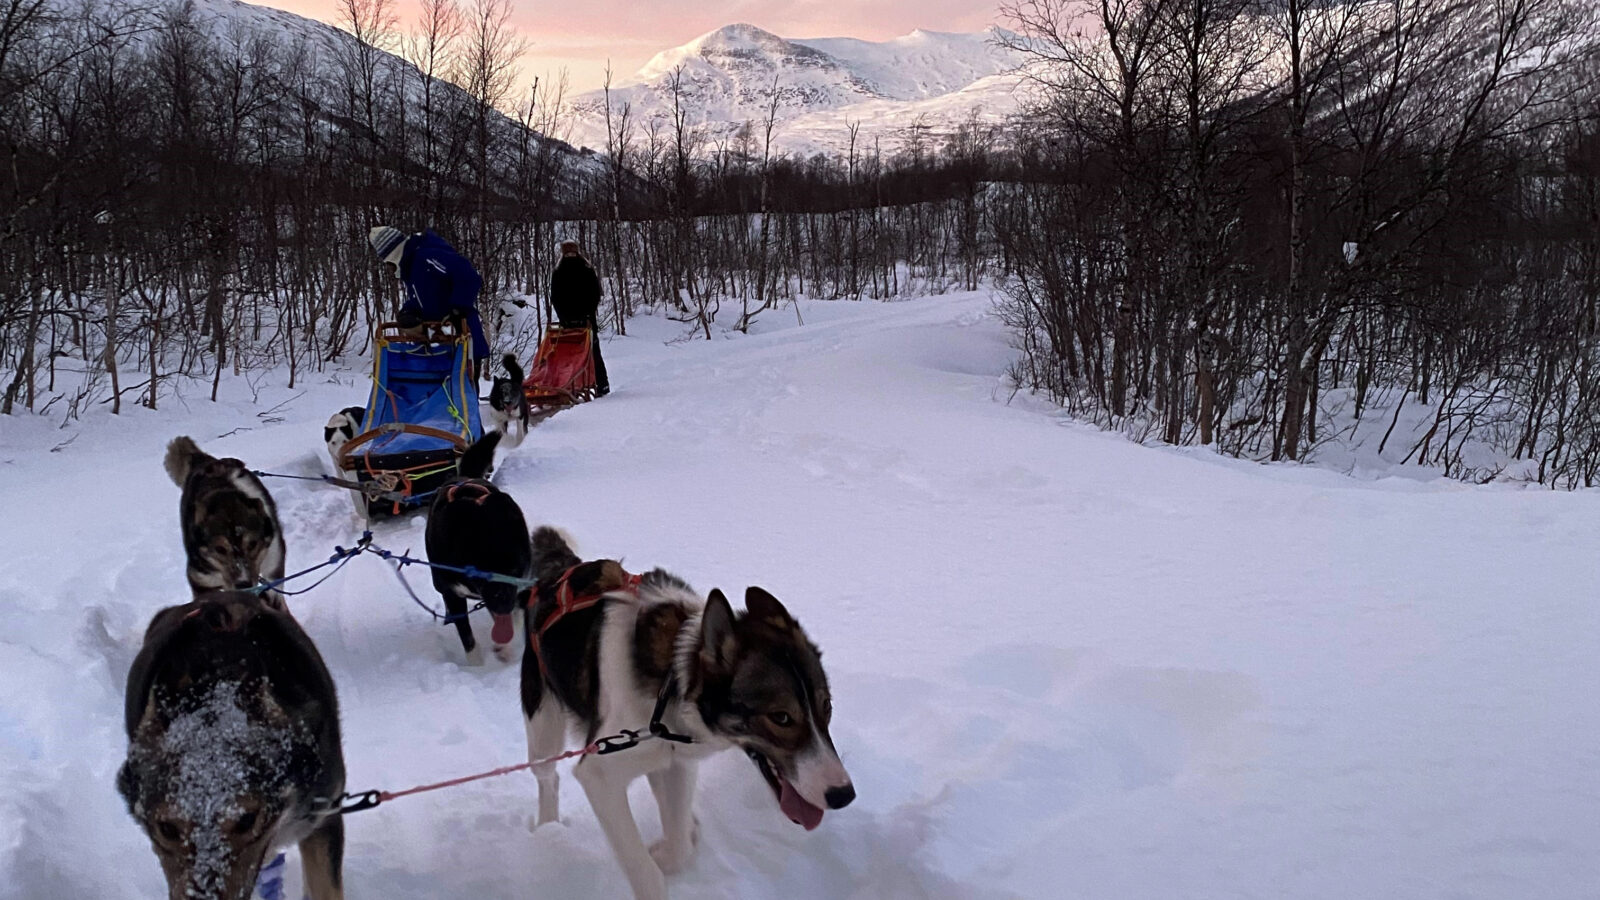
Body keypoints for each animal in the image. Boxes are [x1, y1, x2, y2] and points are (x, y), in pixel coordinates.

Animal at [164, 432, 288, 605]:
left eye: (252, 544)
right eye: (219, 549)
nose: (243, 584)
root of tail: (203, 461)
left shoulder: (273, 573)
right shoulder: (201, 582)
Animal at [425, 432, 531, 662]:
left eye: (514, 569)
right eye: (482, 574)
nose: (505, 606)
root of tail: (464, 477)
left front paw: (505, 648)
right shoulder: (454, 593)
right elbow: (467, 637)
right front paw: (476, 663)